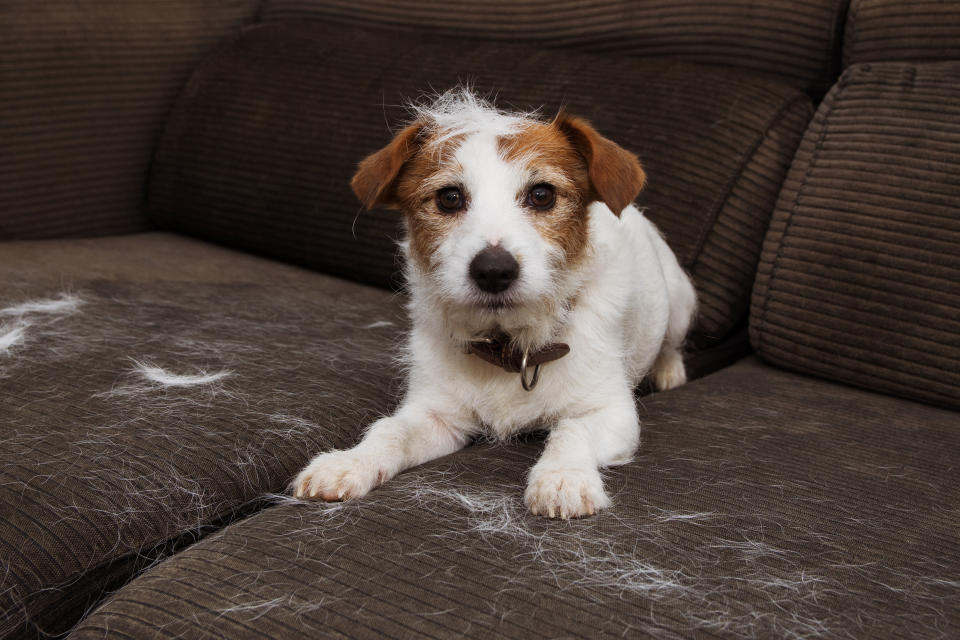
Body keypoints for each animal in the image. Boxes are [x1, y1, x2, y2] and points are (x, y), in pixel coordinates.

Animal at [292, 89, 696, 520]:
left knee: (671, 343)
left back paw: (669, 372)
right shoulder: (436, 415)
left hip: (680, 300)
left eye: (542, 194)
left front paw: (562, 478)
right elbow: (391, 430)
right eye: (449, 197)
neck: (509, 345)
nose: (493, 270)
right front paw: (349, 462)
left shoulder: (610, 413)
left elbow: (573, 430)